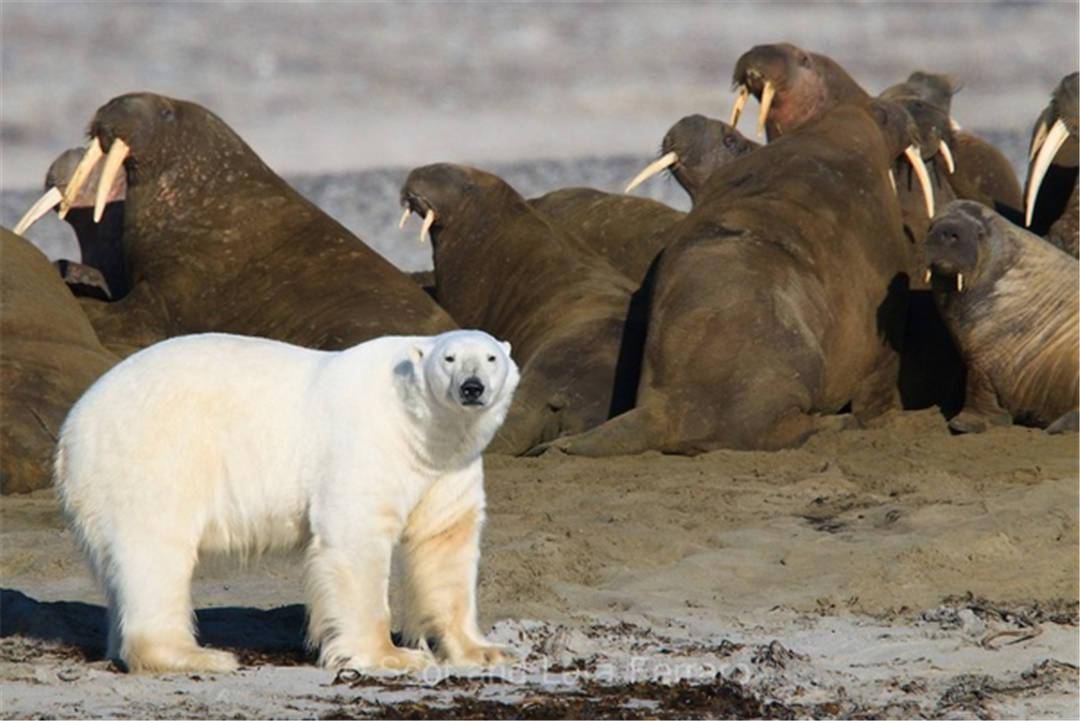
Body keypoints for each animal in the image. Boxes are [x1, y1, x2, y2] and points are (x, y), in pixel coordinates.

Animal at [54, 330, 518, 673]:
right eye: (449, 359)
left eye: (491, 358)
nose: (471, 388)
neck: (417, 427)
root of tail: (72, 428)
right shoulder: (366, 442)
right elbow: (356, 537)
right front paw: (392, 655)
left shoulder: (446, 467)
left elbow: (445, 543)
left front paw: (484, 650)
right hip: (151, 453)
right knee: (154, 553)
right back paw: (199, 655)